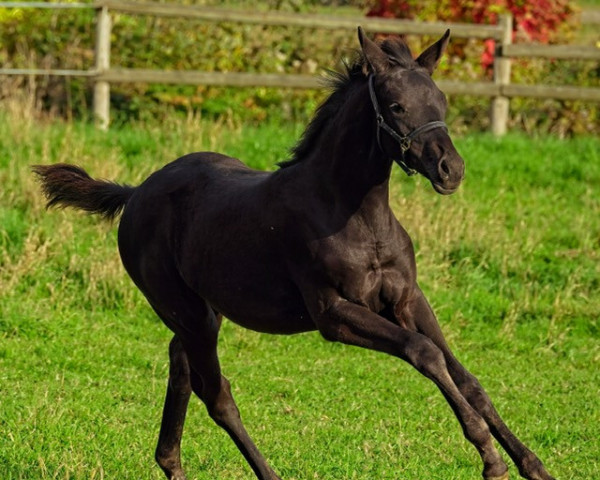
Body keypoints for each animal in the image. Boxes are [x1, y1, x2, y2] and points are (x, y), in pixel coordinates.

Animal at [34, 29, 552, 480]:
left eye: (442, 102)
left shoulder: (408, 299)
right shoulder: (334, 314)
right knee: (216, 394)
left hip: (201, 312)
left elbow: (466, 377)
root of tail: (136, 192)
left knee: (180, 368)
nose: (451, 170)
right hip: (187, 312)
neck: (356, 215)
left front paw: (533, 465)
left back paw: (171, 464)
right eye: (397, 106)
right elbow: (423, 352)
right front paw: (490, 458)